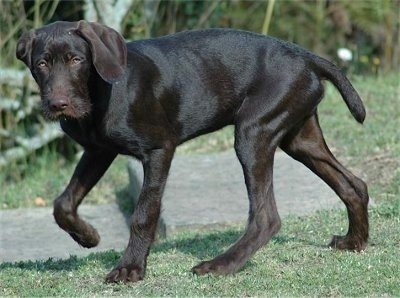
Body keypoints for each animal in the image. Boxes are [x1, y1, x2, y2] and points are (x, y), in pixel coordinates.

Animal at [18, 20, 368, 282]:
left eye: (76, 60)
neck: (101, 92)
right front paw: (88, 237)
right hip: (299, 138)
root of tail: (302, 55)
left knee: (266, 217)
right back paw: (355, 242)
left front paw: (130, 268)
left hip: (253, 133)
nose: (58, 105)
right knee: (354, 185)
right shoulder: (98, 151)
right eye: (42, 64)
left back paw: (221, 265)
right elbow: (63, 204)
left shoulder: (159, 149)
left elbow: (144, 213)